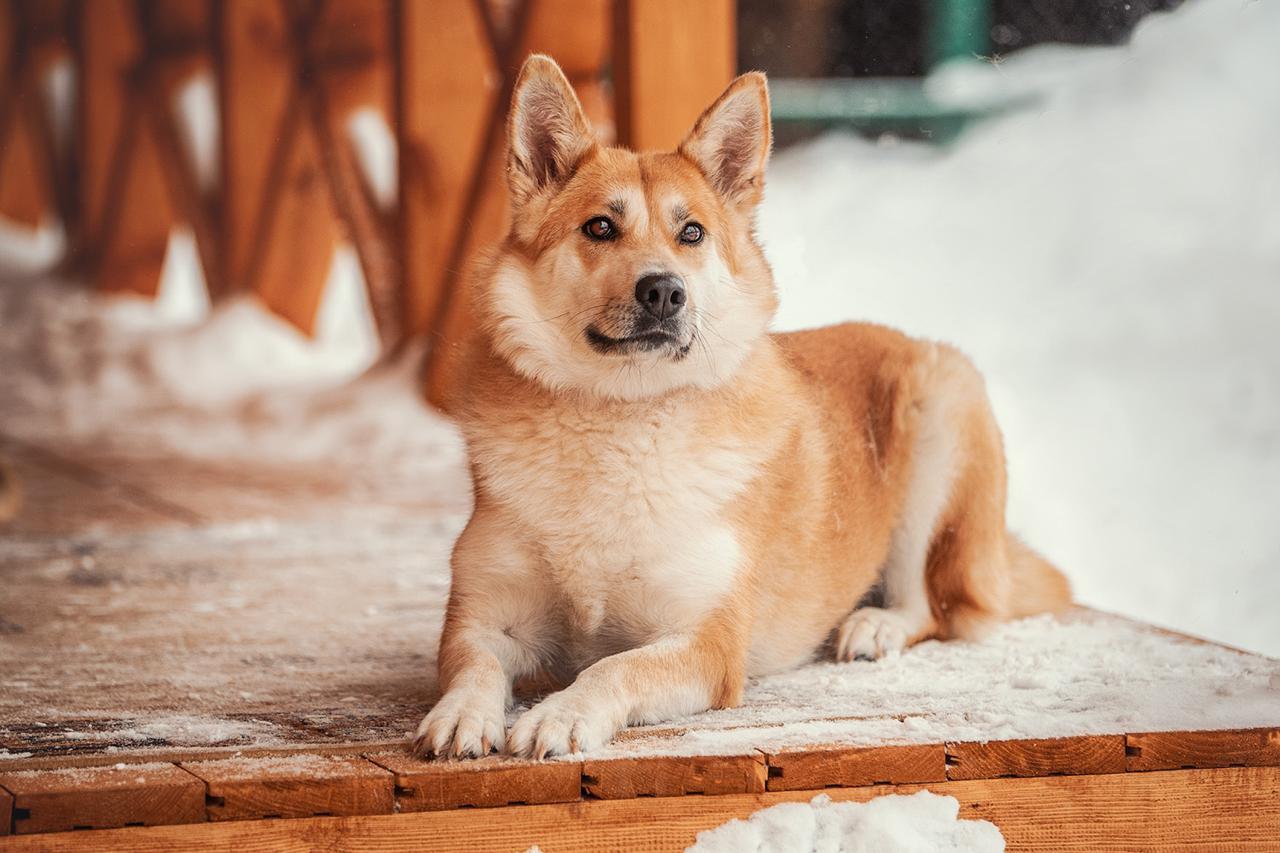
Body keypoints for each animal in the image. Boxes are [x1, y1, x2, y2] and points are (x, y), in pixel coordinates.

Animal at [412, 56, 1070, 753]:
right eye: (599, 227)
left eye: (691, 233)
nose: (663, 290)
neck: (620, 412)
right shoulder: (482, 618)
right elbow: (475, 665)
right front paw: (463, 712)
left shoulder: (706, 642)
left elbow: (613, 668)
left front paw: (563, 713)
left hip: (944, 412)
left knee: (931, 606)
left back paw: (875, 625)